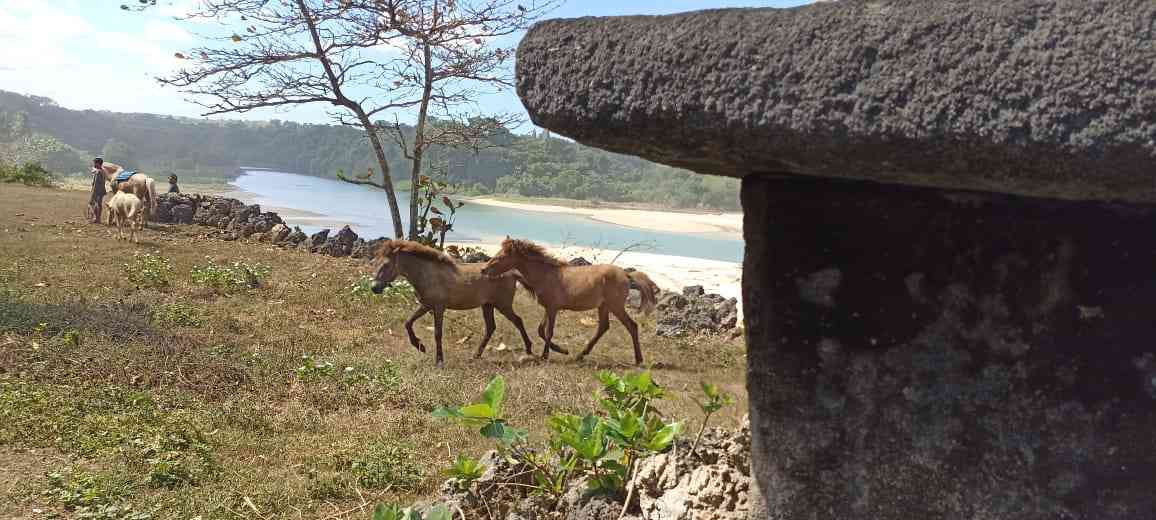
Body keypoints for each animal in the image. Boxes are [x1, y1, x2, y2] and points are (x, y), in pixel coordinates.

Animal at [367, 239, 561, 365]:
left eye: (386, 265)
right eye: (375, 262)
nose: (374, 288)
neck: (428, 274)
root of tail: (513, 272)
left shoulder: (438, 307)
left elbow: (437, 333)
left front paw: (439, 360)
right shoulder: (426, 305)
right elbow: (408, 323)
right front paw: (420, 346)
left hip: (502, 305)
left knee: (518, 321)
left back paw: (529, 349)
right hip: (488, 306)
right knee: (491, 328)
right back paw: (476, 355)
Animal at [480, 236, 661, 362]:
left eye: (502, 256)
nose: (483, 269)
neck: (546, 275)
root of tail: (626, 274)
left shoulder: (553, 308)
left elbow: (548, 331)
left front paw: (545, 355)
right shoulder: (549, 308)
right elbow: (541, 330)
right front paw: (561, 350)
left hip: (615, 306)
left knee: (632, 326)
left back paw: (638, 359)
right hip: (603, 306)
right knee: (603, 327)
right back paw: (580, 355)